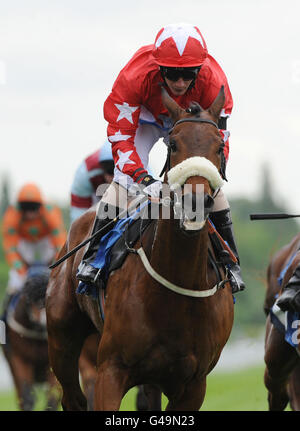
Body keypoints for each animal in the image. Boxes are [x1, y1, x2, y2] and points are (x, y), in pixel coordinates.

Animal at [46, 85, 234, 412]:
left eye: (219, 146)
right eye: (174, 144)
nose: (195, 202)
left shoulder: (193, 384)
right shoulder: (111, 370)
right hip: (61, 340)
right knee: (72, 397)